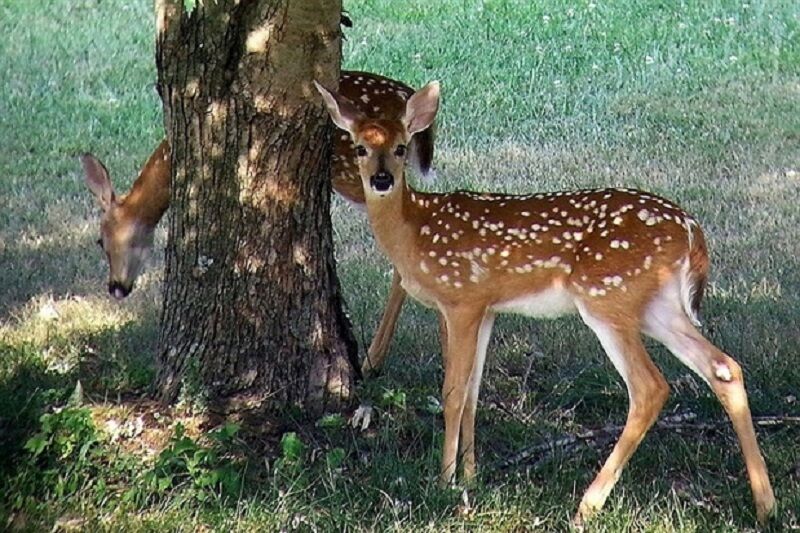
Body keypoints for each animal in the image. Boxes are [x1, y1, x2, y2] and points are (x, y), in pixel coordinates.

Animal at [314, 81, 776, 520]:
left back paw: (588, 505)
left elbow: (453, 391)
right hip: (656, 305)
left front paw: (445, 480)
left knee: (650, 387)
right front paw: (471, 475)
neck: (414, 231)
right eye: (360, 147)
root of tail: (691, 229)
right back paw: (765, 505)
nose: (382, 180)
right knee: (724, 368)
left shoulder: (462, 299)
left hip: (607, 296)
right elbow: (474, 391)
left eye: (400, 147)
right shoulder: (487, 308)